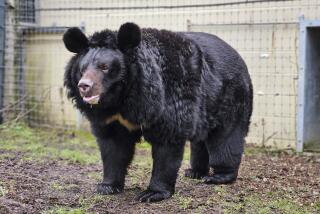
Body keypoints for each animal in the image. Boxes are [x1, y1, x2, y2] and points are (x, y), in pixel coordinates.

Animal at [62, 23, 252, 202]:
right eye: (82, 69)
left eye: (104, 67)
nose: (84, 86)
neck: (121, 99)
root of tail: (238, 56)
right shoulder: (111, 119)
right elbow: (113, 147)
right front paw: (107, 186)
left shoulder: (167, 99)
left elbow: (166, 145)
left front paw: (152, 193)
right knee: (200, 140)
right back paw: (195, 172)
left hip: (230, 97)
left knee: (226, 137)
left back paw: (219, 176)